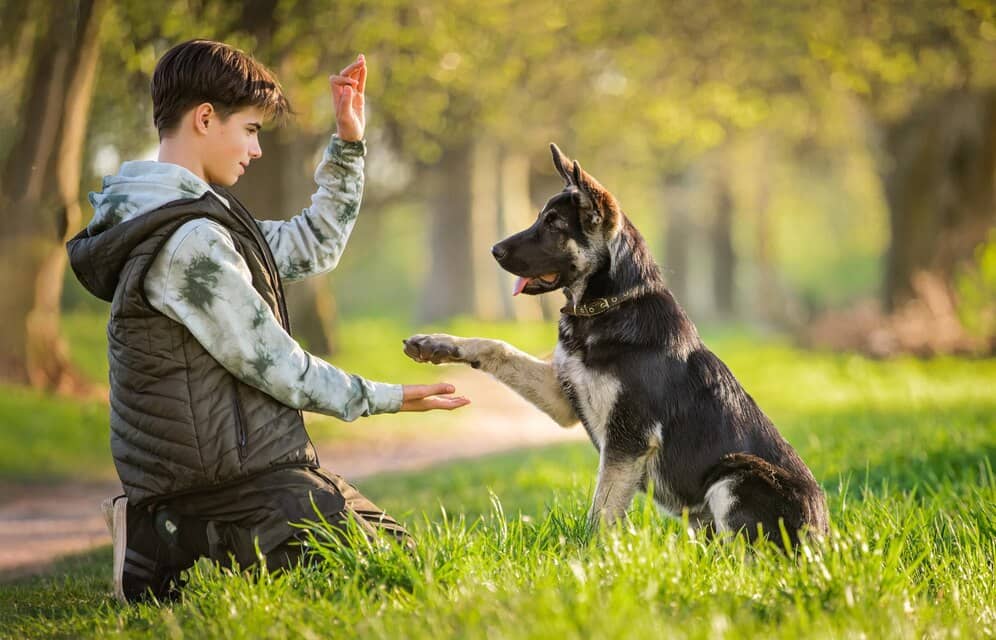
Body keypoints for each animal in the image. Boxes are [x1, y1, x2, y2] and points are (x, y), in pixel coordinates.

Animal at [400, 144, 828, 544]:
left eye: (553, 225)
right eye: (540, 218)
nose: (493, 251)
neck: (607, 306)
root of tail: (822, 537)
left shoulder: (627, 441)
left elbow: (601, 513)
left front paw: (591, 558)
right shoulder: (564, 398)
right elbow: (498, 347)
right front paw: (437, 343)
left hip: (736, 474)